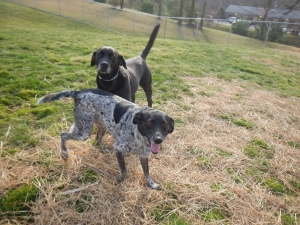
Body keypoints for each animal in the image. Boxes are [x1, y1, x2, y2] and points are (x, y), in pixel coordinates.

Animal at [36, 89, 175, 189]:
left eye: (165, 125)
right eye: (149, 123)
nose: (158, 140)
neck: (139, 136)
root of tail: (79, 92)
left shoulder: (143, 156)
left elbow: (146, 172)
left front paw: (151, 184)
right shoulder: (118, 148)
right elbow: (124, 169)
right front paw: (121, 179)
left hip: (101, 126)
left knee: (97, 138)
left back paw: (103, 149)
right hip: (84, 131)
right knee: (63, 134)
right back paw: (64, 153)